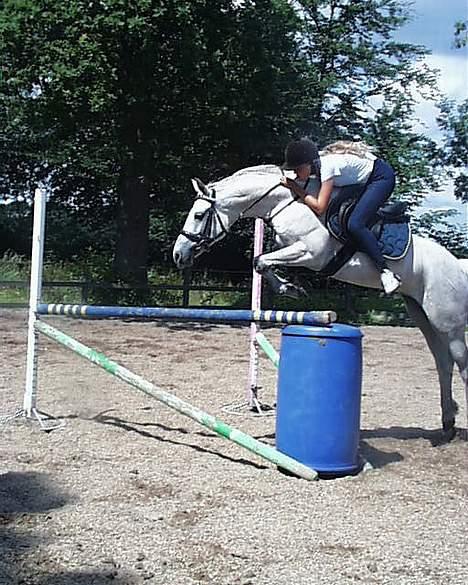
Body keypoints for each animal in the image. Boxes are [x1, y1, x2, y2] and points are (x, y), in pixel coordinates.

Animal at [173, 164, 468, 438]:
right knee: (443, 363)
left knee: (460, 363)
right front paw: (290, 288)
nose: (178, 254)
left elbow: (261, 260)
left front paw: (289, 287)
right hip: (424, 318)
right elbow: (261, 262)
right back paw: (448, 422)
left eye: (198, 215)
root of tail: (457, 265)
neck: (286, 203)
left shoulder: (310, 253)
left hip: (448, 324)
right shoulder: (291, 250)